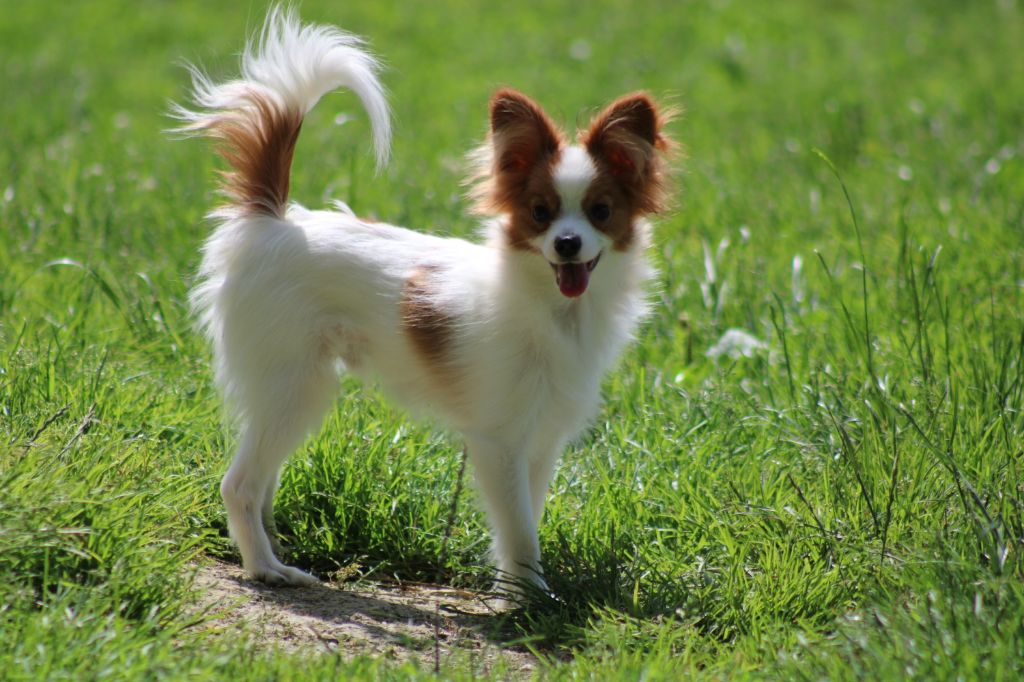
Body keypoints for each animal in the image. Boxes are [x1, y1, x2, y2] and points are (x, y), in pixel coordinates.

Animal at [175, 6, 674, 596]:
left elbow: (522, 519)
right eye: (540, 213)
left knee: (261, 479)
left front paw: (512, 591)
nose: (567, 243)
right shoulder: (497, 441)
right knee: (239, 484)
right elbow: (520, 530)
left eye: (600, 211)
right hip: (294, 384)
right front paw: (533, 600)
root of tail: (273, 218)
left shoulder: (540, 439)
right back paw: (266, 568)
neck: (555, 312)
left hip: (287, 390)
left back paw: (272, 548)